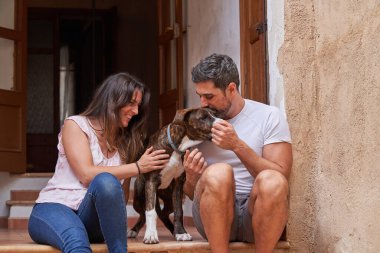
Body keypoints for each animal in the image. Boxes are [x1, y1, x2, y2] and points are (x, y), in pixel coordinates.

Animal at [127, 106, 217, 243]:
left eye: (214, 115)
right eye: (203, 117)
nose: (222, 122)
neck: (177, 147)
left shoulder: (178, 185)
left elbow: (178, 211)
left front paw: (181, 233)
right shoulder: (151, 181)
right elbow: (150, 211)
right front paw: (151, 235)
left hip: (169, 198)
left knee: (164, 213)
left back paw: (173, 230)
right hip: (138, 197)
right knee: (143, 212)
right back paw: (133, 230)